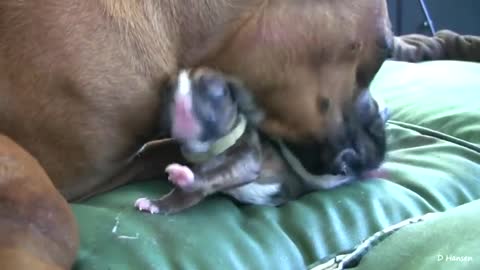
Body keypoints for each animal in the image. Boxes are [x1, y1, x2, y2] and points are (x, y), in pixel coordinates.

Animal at [135, 68, 386, 214]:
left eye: (215, 90)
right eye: (168, 90)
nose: (180, 104)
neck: (207, 151)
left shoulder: (247, 159)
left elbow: (216, 175)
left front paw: (185, 177)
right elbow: (185, 197)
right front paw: (157, 204)